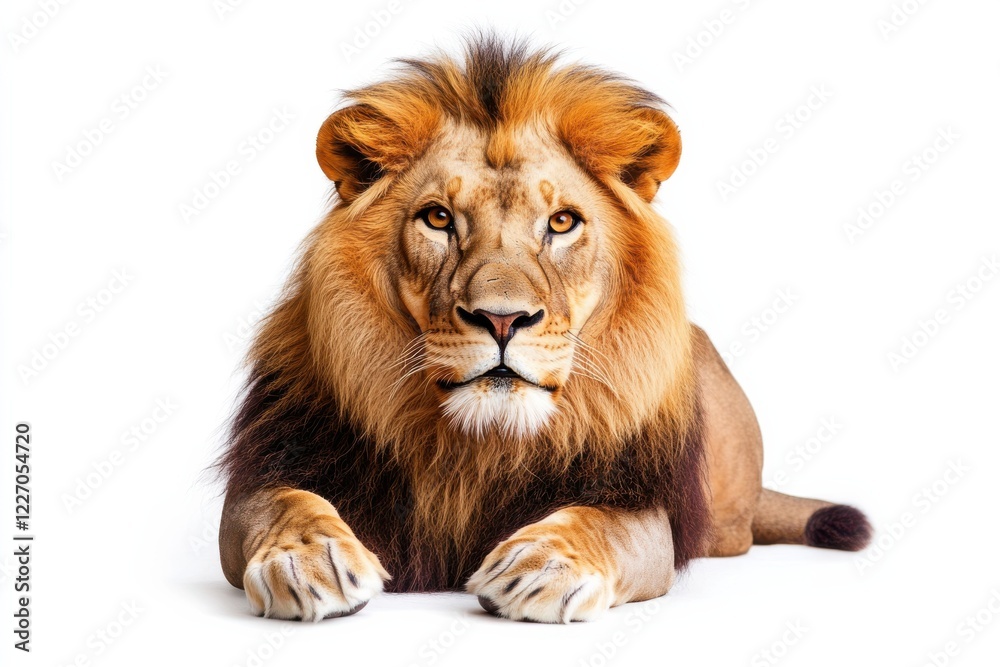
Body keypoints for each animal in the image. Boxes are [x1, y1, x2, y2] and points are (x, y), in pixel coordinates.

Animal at [217, 35, 872, 623]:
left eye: (561, 222)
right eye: (438, 218)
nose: (502, 318)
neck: (478, 446)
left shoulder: (637, 502)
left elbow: (598, 524)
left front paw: (543, 565)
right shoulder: (266, 475)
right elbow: (285, 504)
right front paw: (310, 558)